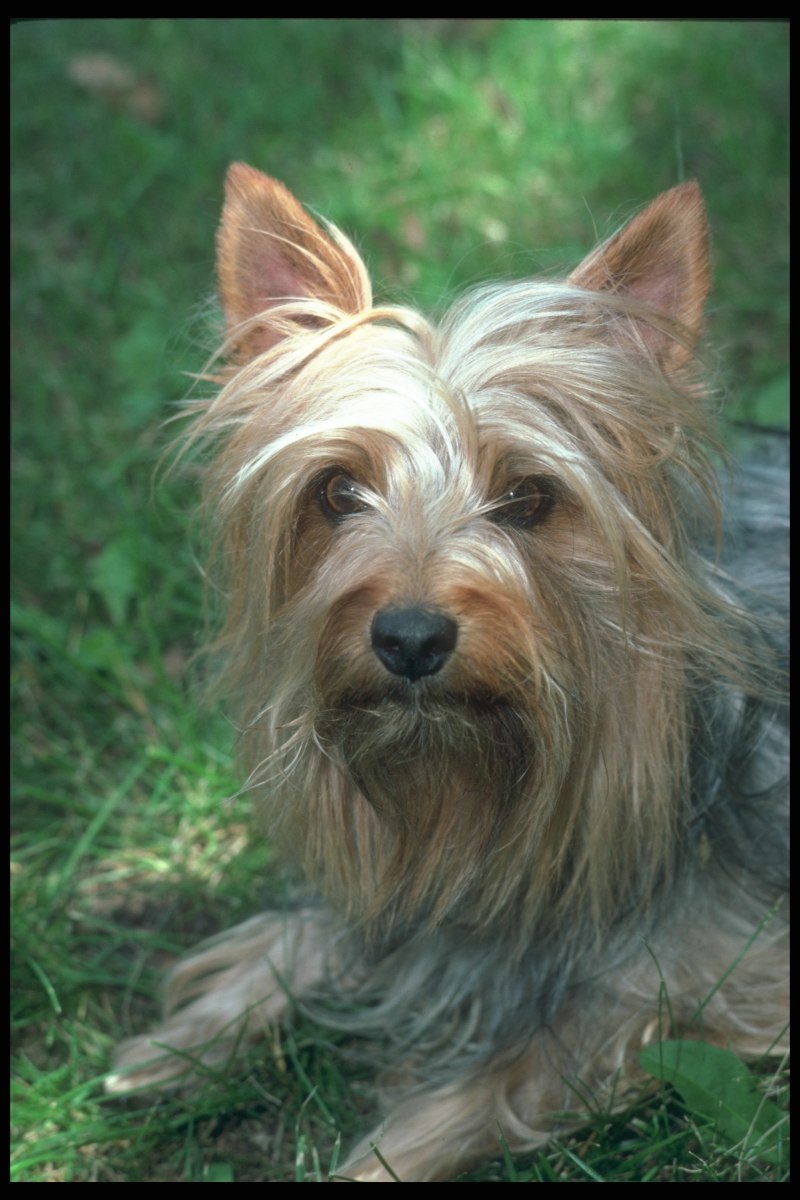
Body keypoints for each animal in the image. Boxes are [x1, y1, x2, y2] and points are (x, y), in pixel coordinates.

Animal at [109, 166, 791, 1180]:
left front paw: (375, 1156)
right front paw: (181, 1039)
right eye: (336, 491)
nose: (410, 637)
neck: (470, 780)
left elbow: (524, 1063)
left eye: (531, 497)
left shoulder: (727, 972)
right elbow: (316, 934)